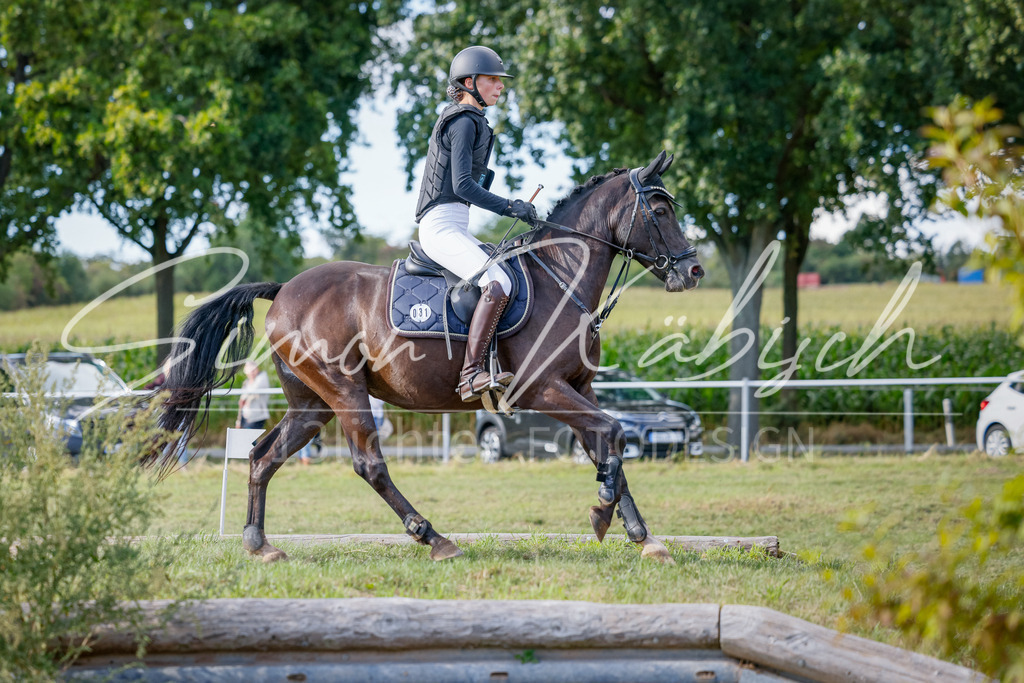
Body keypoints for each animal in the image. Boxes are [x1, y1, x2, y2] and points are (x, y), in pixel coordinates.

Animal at [154, 151, 704, 563]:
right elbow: (612, 432)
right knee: (368, 464)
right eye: (660, 211)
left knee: (262, 456)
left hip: (310, 405)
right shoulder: (541, 388)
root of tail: (284, 289)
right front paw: (604, 509)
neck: (560, 276)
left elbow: (608, 444)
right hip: (345, 391)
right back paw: (432, 537)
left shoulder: (579, 388)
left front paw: (641, 534)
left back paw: (259, 543)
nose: (694, 271)